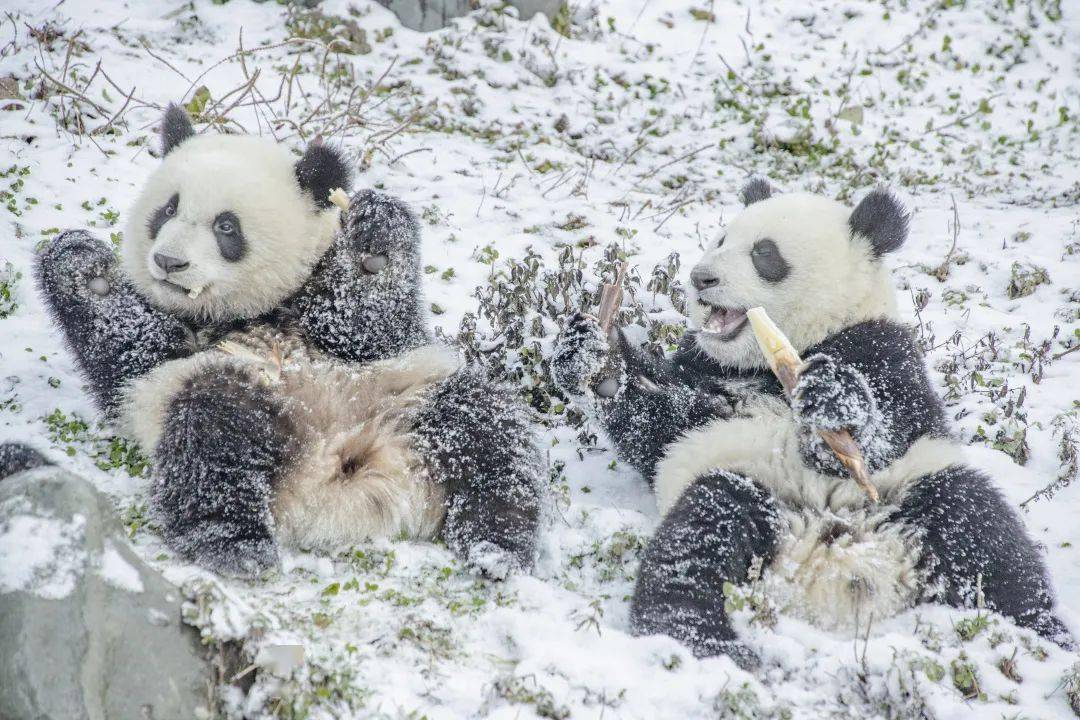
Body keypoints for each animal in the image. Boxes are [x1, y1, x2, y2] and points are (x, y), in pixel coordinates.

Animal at [38, 105, 544, 578]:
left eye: (226, 226)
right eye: (168, 209)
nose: (168, 262)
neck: (244, 312)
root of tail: (336, 481)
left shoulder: (355, 335)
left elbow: (364, 321)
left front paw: (373, 239)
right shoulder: (161, 362)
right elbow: (129, 347)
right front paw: (84, 266)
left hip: (409, 395)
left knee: (487, 433)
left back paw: (497, 545)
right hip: (236, 394)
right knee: (214, 434)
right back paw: (235, 543)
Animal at [552, 183, 1075, 669]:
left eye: (764, 253)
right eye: (721, 238)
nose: (702, 278)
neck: (771, 362)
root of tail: (836, 569)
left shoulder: (883, 349)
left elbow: (893, 428)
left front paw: (832, 403)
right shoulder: (704, 378)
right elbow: (660, 429)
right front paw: (591, 357)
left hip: (916, 495)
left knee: (990, 544)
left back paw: (1045, 639)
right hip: (750, 490)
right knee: (697, 543)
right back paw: (704, 642)